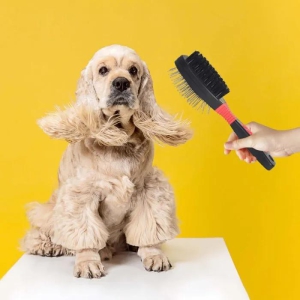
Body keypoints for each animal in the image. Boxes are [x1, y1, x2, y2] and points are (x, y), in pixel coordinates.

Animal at [21, 45, 192, 278]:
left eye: (133, 70)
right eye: (103, 70)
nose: (121, 83)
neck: (118, 140)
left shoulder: (148, 189)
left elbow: (149, 227)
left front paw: (153, 255)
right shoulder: (82, 193)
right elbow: (85, 233)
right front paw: (87, 262)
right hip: (47, 211)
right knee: (38, 233)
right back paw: (49, 246)